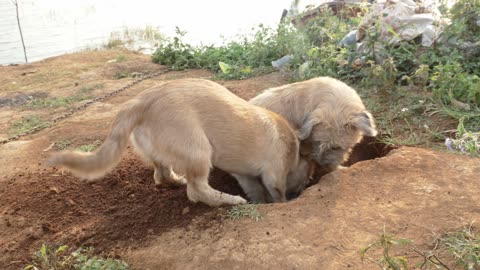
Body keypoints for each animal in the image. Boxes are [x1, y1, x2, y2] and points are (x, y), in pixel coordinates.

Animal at [47, 78, 314, 207]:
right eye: (308, 178)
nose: (301, 192)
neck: (293, 147)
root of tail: (141, 101)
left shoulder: (247, 176)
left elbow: (256, 190)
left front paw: (259, 202)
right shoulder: (274, 176)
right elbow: (276, 193)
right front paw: (279, 203)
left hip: (160, 152)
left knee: (161, 175)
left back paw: (177, 180)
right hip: (199, 150)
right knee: (196, 190)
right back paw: (229, 201)